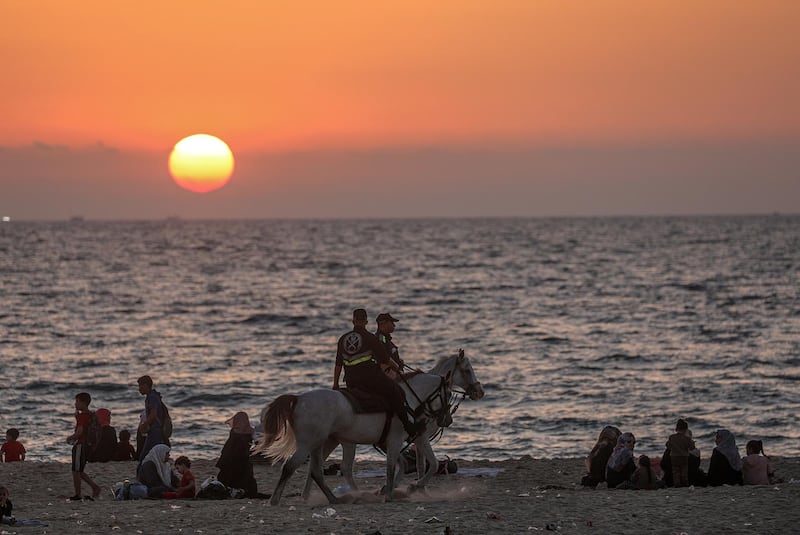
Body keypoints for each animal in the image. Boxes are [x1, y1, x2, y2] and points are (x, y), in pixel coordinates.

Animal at [256, 350, 482, 504]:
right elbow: (408, 466)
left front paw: (405, 489)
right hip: (311, 443)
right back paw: (277, 499)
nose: (480, 392)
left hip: (327, 442)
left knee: (320, 470)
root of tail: (298, 399)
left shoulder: (413, 437)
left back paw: (336, 497)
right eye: (467, 370)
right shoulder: (405, 437)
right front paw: (401, 490)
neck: (411, 399)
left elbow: (418, 464)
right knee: (293, 467)